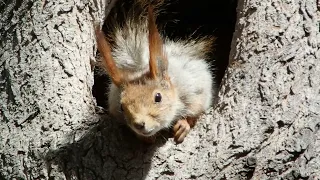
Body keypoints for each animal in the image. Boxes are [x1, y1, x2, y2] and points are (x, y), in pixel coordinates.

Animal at [94, 0, 215, 143]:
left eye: (158, 97)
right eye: (121, 107)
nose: (139, 124)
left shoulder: (195, 87)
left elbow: (195, 110)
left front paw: (183, 125)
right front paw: (145, 137)